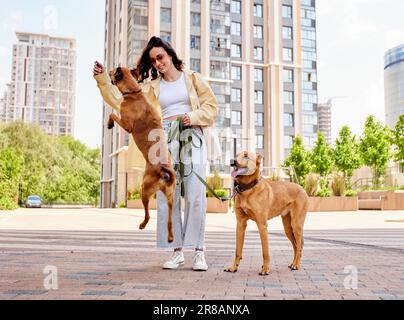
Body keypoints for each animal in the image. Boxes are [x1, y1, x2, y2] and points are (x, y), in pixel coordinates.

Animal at [107, 67, 177, 242]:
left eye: (112, 71)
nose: (107, 71)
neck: (134, 93)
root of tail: (164, 170)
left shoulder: (126, 124)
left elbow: (112, 115)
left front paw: (109, 123)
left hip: (143, 189)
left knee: (148, 214)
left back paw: (143, 225)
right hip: (170, 198)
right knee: (170, 220)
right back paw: (170, 236)